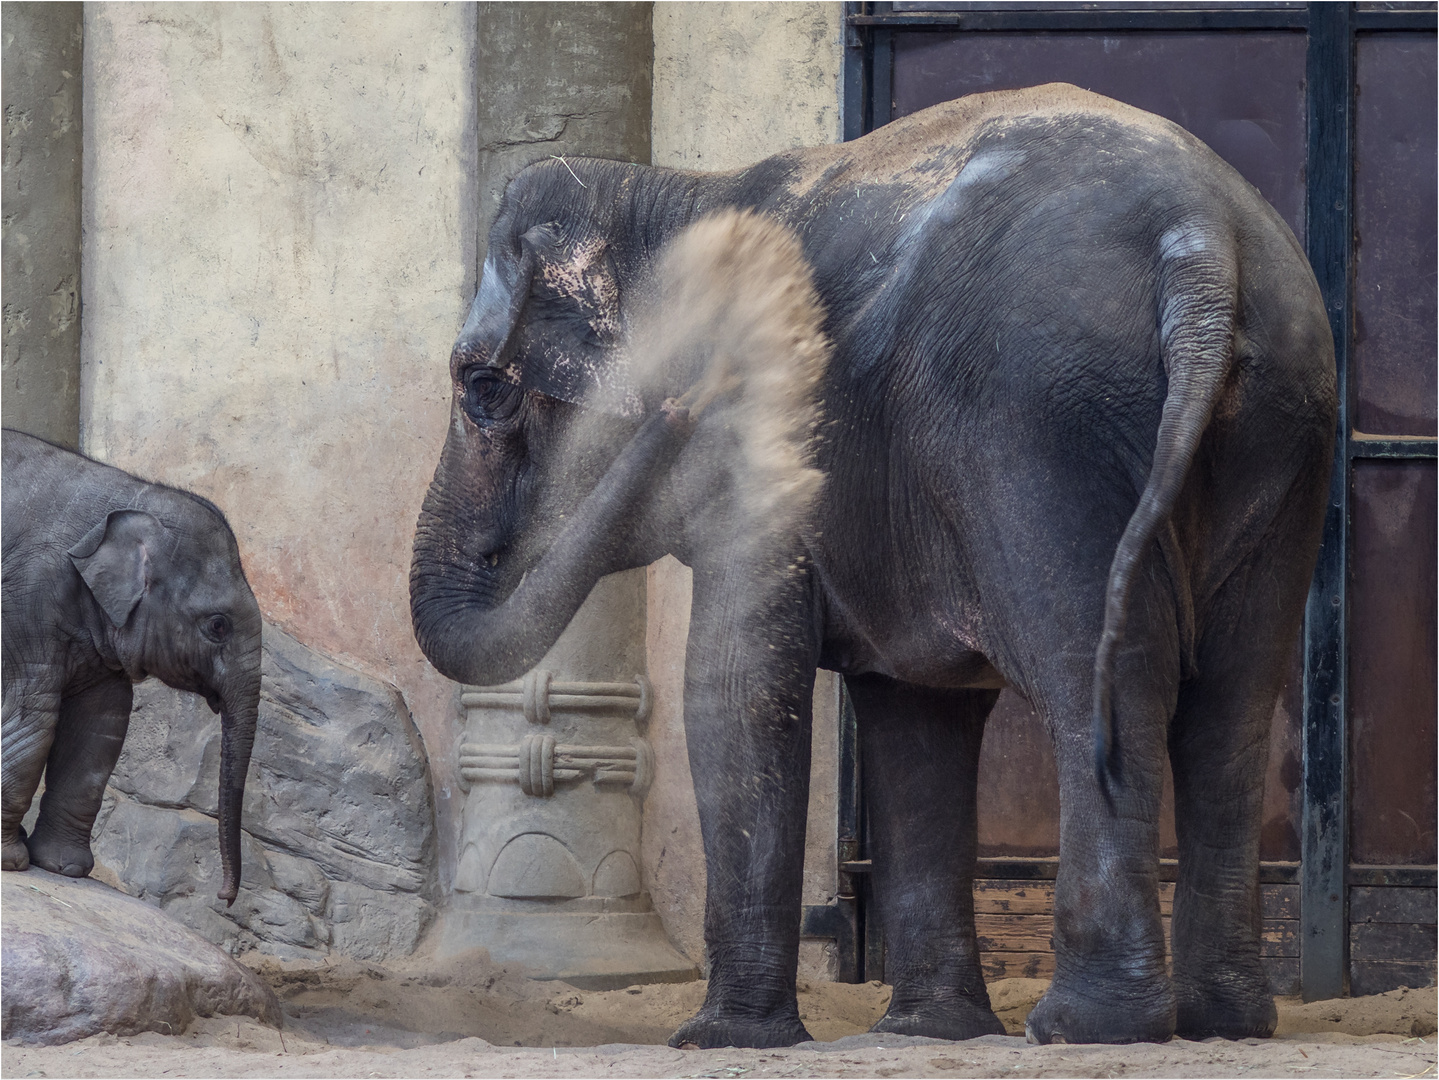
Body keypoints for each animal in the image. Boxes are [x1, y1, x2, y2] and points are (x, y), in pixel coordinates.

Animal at [2, 431, 264, 903]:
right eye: (218, 626)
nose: (223, 897)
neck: (130, 496)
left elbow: (100, 727)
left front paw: (66, 868)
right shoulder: (25, 600)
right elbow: (31, 714)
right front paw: (10, 862)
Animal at [411, 84, 1329, 1046]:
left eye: (483, 388)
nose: (686, 407)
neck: (675, 193)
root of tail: (1201, 242)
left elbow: (736, 684)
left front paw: (720, 1040)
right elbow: (914, 713)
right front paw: (931, 1033)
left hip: (1045, 427)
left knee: (1102, 677)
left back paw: (1084, 1027)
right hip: (1283, 423)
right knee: (1232, 700)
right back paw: (1223, 1022)